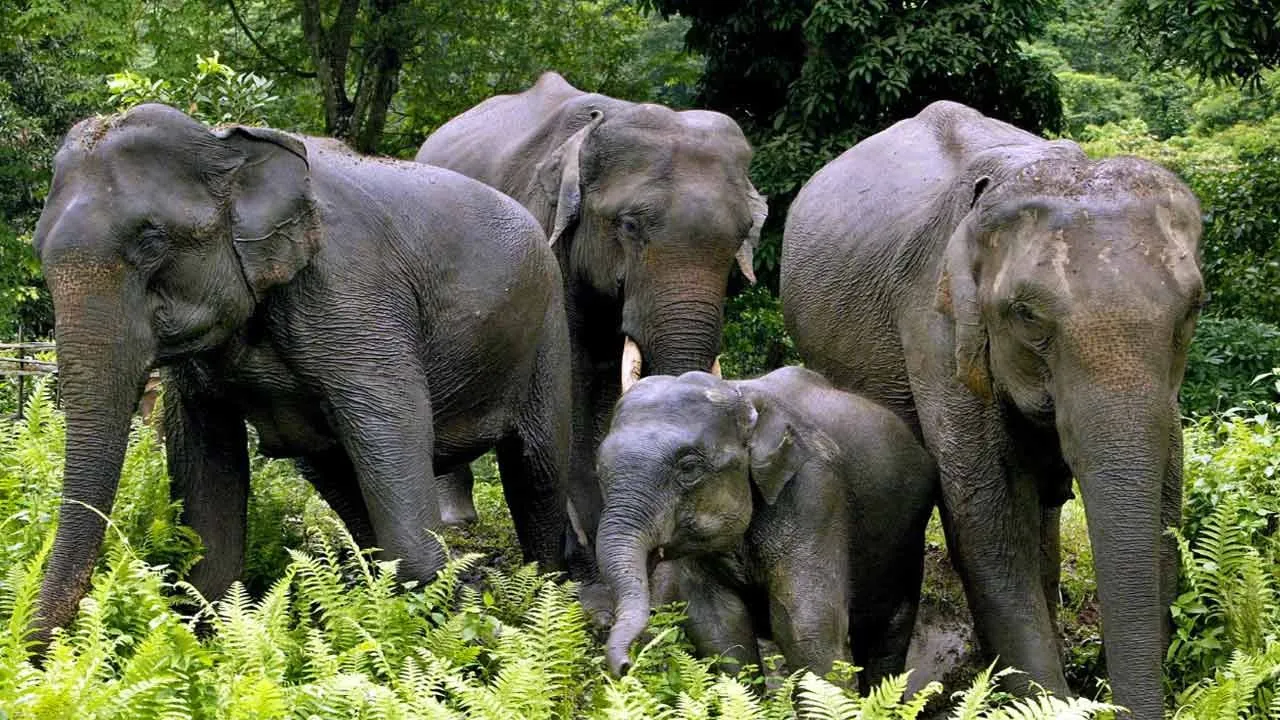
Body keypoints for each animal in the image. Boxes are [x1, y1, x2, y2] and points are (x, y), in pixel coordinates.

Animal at [31, 103, 572, 645]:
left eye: (150, 241)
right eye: (37, 248)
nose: (38, 649)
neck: (225, 143)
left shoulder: (355, 297)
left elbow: (394, 429)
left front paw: (460, 635)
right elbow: (205, 467)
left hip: (548, 323)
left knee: (539, 467)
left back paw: (549, 601)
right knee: (334, 471)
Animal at [415, 72, 767, 582]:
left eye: (742, 235)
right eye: (629, 225)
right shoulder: (545, 238)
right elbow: (574, 376)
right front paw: (583, 559)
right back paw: (457, 520)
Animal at [595, 367, 936, 692]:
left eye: (689, 468)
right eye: (599, 471)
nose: (625, 667)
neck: (740, 394)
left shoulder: (815, 492)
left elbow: (805, 626)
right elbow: (719, 625)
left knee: (885, 633)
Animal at [781, 100, 1203, 717]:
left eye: (1194, 307)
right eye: (1026, 315)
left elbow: (1166, 498)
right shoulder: (937, 325)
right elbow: (988, 515)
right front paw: (1045, 702)